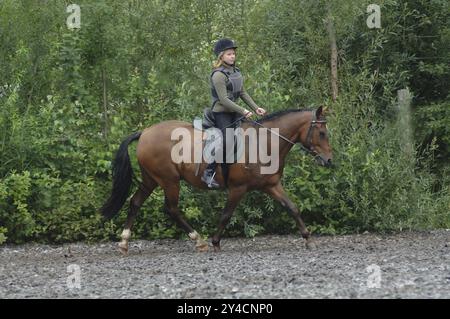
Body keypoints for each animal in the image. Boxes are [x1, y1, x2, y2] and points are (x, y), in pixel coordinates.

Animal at [100, 106, 332, 254]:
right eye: (321, 133)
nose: (329, 161)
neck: (264, 143)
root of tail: (145, 132)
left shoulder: (272, 185)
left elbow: (292, 208)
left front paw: (309, 239)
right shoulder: (238, 188)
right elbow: (226, 215)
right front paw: (215, 242)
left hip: (151, 179)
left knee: (135, 202)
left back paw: (124, 243)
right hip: (169, 180)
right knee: (171, 209)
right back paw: (199, 241)